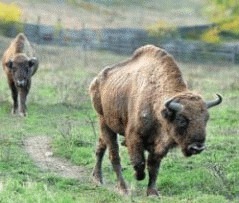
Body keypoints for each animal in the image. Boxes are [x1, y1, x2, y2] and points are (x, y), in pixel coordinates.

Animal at [89, 44, 222, 197]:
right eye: (181, 119)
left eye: (206, 119)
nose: (197, 147)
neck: (157, 107)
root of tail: (96, 81)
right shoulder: (134, 137)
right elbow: (139, 162)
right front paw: (138, 176)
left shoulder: (159, 147)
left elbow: (154, 167)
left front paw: (152, 193)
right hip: (104, 121)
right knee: (114, 155)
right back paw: (123, 188)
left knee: (101, 147)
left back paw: (97, 178)